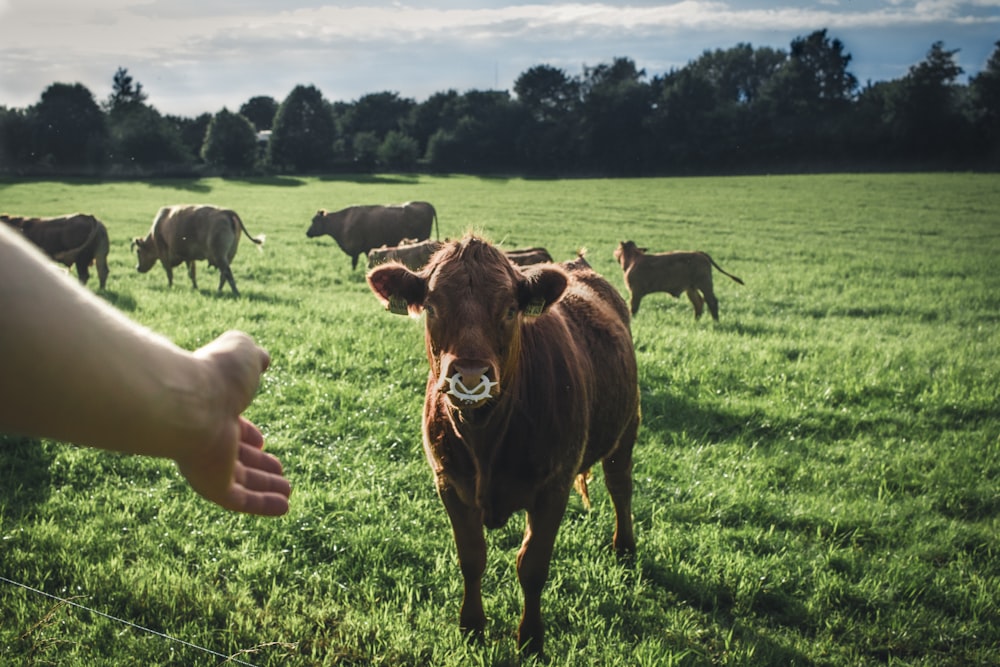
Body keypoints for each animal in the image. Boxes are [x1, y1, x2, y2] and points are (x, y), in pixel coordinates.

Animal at [304, 200, 438, 270]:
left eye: (314, 221)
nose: (307, 233)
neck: (342, 222)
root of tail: (425, 204)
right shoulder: (366, 249)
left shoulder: (355, 249)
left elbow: (354, 264)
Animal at [612, 240, 748, 320]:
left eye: (618, 248)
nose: (614, 251)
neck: (633, 260)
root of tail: (699, 253)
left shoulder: (636, 292)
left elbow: (633, 308)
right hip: (691, 288)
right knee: (699, 302)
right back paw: (696, 321)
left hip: (705, 284)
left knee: (712, 301)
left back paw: (715, 321)